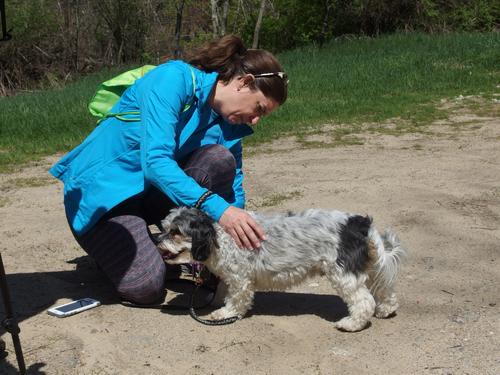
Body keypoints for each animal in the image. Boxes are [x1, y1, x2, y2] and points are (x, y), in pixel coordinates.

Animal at [156, 206, 406, 332]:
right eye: (165, 228)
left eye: (176, 232)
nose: (157, 240)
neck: (219, 236)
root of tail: (359, 224)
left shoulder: (240, 278)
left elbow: (236, 300)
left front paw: (225, 313)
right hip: (366, 267)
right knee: (385, 291)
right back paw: (386, 309)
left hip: (343, 273)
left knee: (364, 302)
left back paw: (351, 324)